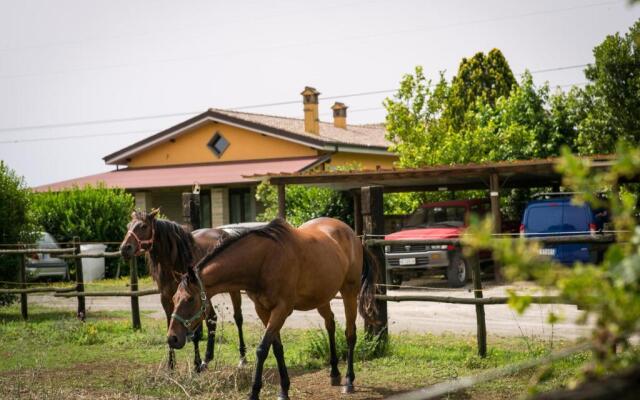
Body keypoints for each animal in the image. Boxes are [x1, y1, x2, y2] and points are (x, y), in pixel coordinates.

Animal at [120, 209, 248, 372]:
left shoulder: (192, 298)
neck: (174, 261)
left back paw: (242, 358)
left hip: (233, 290)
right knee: (212, 319)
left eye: (143, 226)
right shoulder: (167, 298)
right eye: (128, 225)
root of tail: (225, 233)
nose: (125, 248)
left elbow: (195, 333)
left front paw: (196, 363)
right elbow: (170, 325)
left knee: (238, 319)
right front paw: (171, 365)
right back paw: (208, 358)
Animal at [166, 219, 380, 400]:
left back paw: (349, 381)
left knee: (350, 334)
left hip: (349, 292)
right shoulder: (263, 310)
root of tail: (352, 235)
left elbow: (262, 349)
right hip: (322, 297)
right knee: (330, 325)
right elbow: (277, 348)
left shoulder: (281, 310)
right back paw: (334, 373)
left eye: (189, 299)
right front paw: (284, 389)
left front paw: (254, 392)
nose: (172, 338)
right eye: (174, 299)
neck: (263, 261)